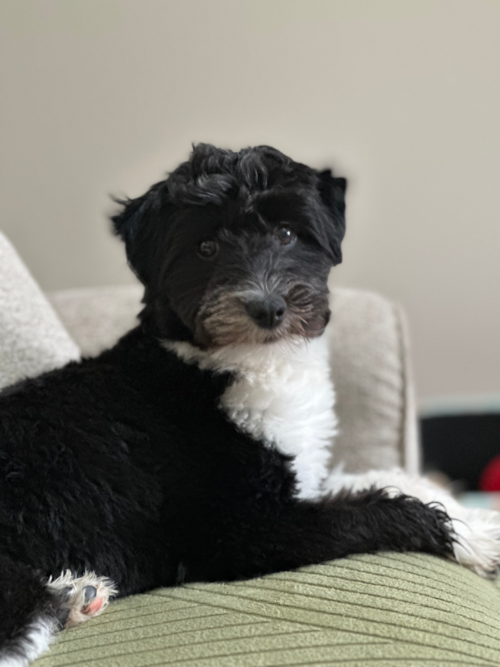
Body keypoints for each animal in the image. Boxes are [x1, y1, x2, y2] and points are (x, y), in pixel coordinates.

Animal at [0, 144, 496, 664]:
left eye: (287, 233)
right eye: (205, 248)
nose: (268, 307)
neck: (238, 363)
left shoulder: (301, 477)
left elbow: (383, 479)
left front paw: (480, 519)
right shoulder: (243, 533)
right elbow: (386, 508)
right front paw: (471, 538)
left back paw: (76, 593)